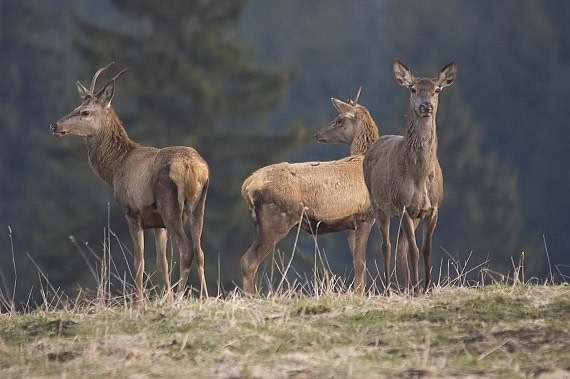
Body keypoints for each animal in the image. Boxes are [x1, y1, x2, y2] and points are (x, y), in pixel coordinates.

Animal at [50, 63, 210, 302]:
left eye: (85, 111)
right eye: (77, 106)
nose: (55, 125)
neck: (116, 168)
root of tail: (192, 167)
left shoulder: (132, 212)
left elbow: (139, 260)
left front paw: (139, 301)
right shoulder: (157, 223)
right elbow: (162, 262)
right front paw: (165, 296)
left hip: (170, 205)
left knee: (186, 249)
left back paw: (180, 297)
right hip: (198, 205)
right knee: (199, 250)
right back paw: (206, 296)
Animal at [239, 93, 378, 296]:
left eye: (339, 120)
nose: (317, 134)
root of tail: (247, 186)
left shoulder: (351, 224)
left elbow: (356, 263)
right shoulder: (365, 216)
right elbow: (361, 264)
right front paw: (359, 294)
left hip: (259, 223)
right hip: (276, 220)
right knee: (248, 261)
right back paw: (253, 296)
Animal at [362, 60, 454, 296]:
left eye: (437, 89)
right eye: (412, 89)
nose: (426, 106)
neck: (419, 175)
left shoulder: (433, 208)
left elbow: (426, 249)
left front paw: (426, 288)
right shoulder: (402, 205)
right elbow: (413, 250)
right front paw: (418, 289)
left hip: (412, 215)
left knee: (400, 249)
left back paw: (409, 287)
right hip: (378, 203)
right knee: (386, 246)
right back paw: (388, 288)